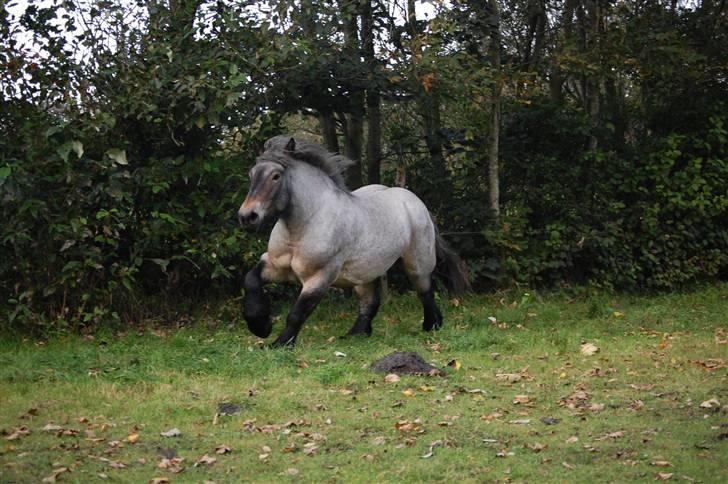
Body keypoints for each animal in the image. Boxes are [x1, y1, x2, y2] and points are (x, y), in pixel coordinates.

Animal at [236, 136, 470, 348]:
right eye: (251, 174)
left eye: (276, 176)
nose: (248, 217)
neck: (304, 226)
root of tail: (413, 201)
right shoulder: (275, 265)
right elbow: (250, 280)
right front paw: (261, 326)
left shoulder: (319, 277)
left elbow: (296, 314)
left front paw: (279, 343)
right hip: (365, 272)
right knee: (370, 302)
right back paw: (356, 334)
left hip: (416, 264)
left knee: (425, 291)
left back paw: (432, 325)